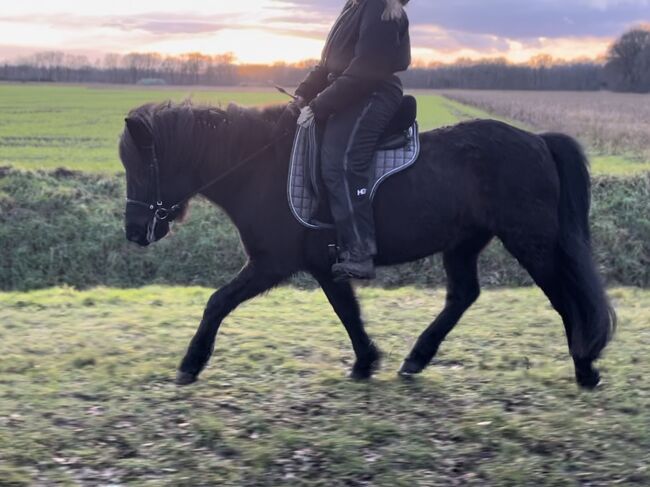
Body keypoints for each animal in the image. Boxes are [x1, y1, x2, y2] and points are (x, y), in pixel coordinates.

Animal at [120, 99, 612, 388]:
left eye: (141, 166)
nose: (133, 231)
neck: (260, 166)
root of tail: (537, 140)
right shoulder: (323, 264)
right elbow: (348, 311)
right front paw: (366, 361)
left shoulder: (272, 262)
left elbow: (217, 302)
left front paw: (190, 363)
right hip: (464, 242)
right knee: (463, 295)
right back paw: (416, 359)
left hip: (531, 242)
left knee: (565, 297)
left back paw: (585, 367)